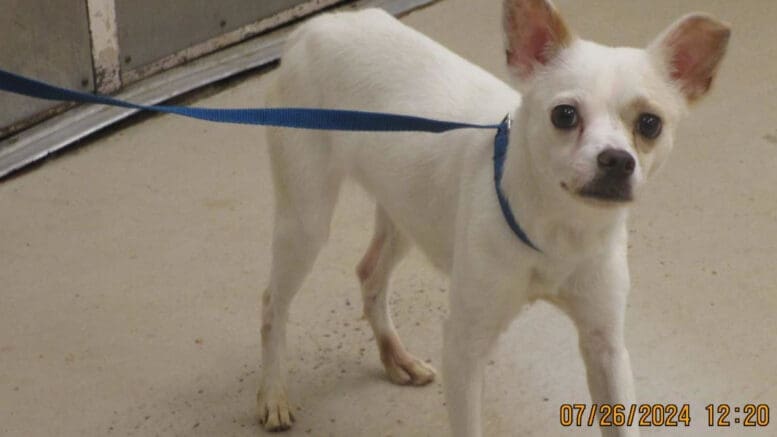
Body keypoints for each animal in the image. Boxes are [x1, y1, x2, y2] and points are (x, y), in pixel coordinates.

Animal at [258, 1, 732, 434]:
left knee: (369, 272)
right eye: (565, 115)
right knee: (273, 303)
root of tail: (315, 27)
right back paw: (273, 394)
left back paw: (396, 357)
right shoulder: (464, 348)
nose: (616, 160)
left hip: (405, 210)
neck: (559, 232)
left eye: (650, 124)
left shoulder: (606, 348)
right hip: (306, 221)